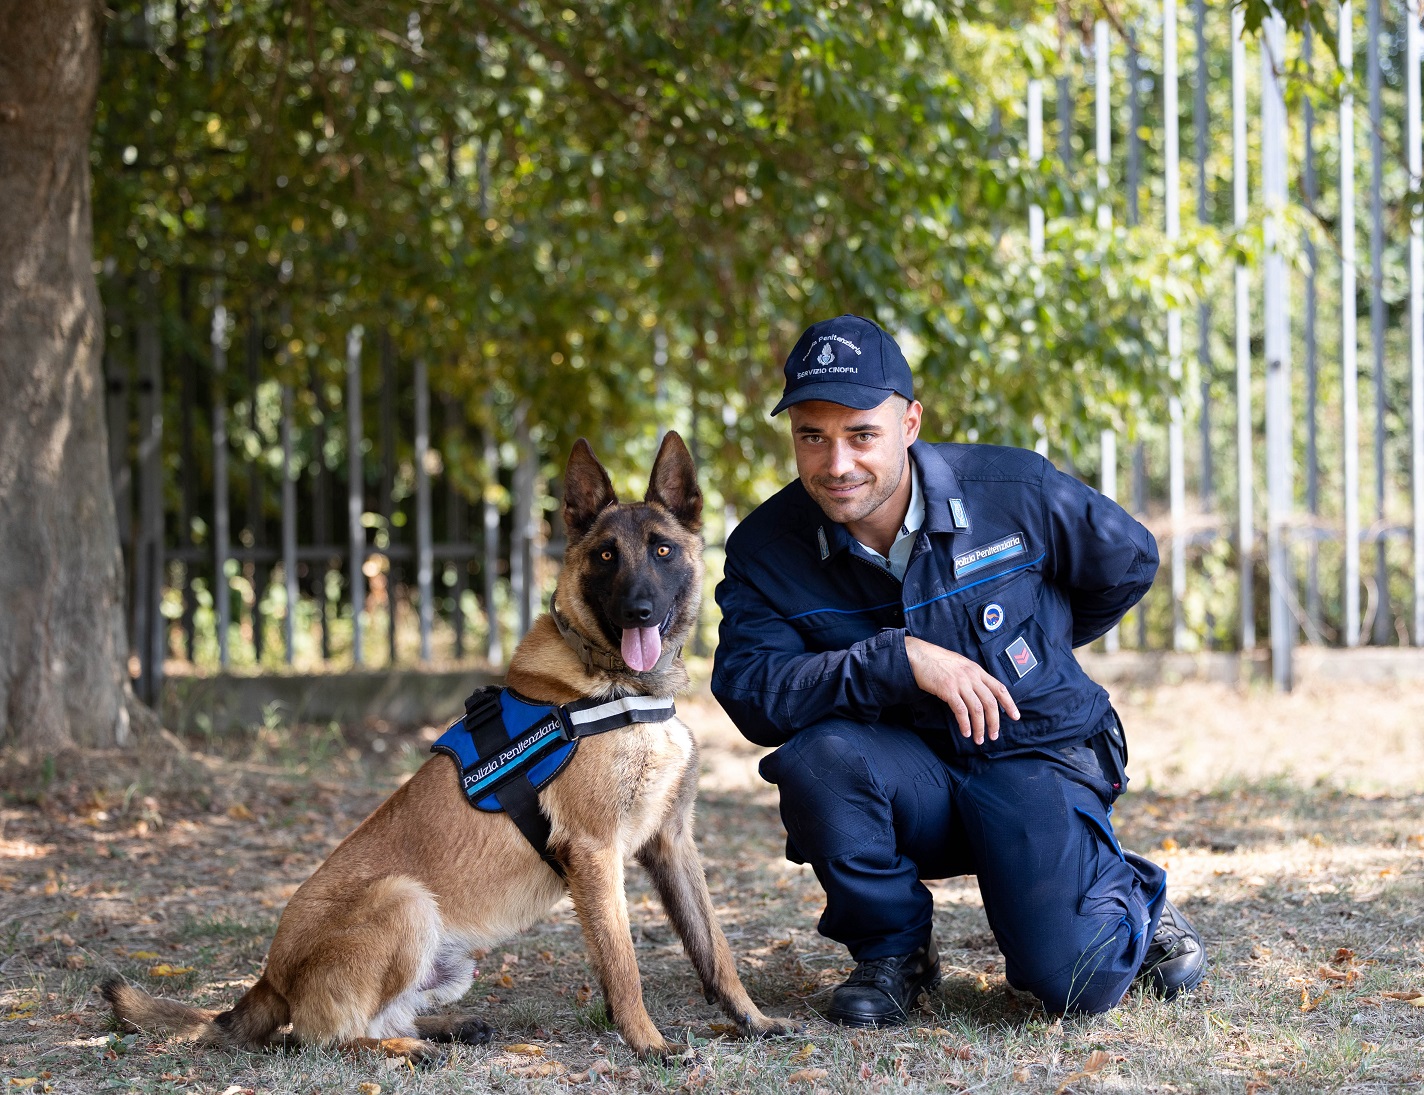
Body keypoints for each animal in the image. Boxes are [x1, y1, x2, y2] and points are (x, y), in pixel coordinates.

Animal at [108, 432, 803, 1059]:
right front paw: (649, 1045)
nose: (638, 611)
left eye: (661, 550)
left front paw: (753, 1020)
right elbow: (623, 964)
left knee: (378, 1016)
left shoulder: (672, 843)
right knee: (317, 1038)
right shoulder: (595, 851)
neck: (616, 686)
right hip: (406, 899)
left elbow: (715, 949)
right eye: (606, 556)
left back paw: (446, 1029)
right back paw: (405, 1049)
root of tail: (268, 979)